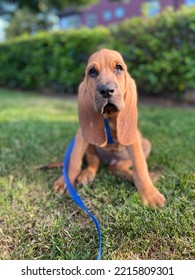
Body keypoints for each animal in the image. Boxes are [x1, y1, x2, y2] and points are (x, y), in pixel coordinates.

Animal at [53, 48, 166, 207]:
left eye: (119, 68)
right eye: (92, 71)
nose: (106, 90)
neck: (108, 116)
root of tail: (109, 160)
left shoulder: (133, 141)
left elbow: (140, 167)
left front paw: (150, 194)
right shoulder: (81, 136)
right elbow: (74, 162)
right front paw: (64, 182)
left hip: (145, 144)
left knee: (119, 167)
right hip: (90, 145)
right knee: (96, 162)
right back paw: (87, 174)